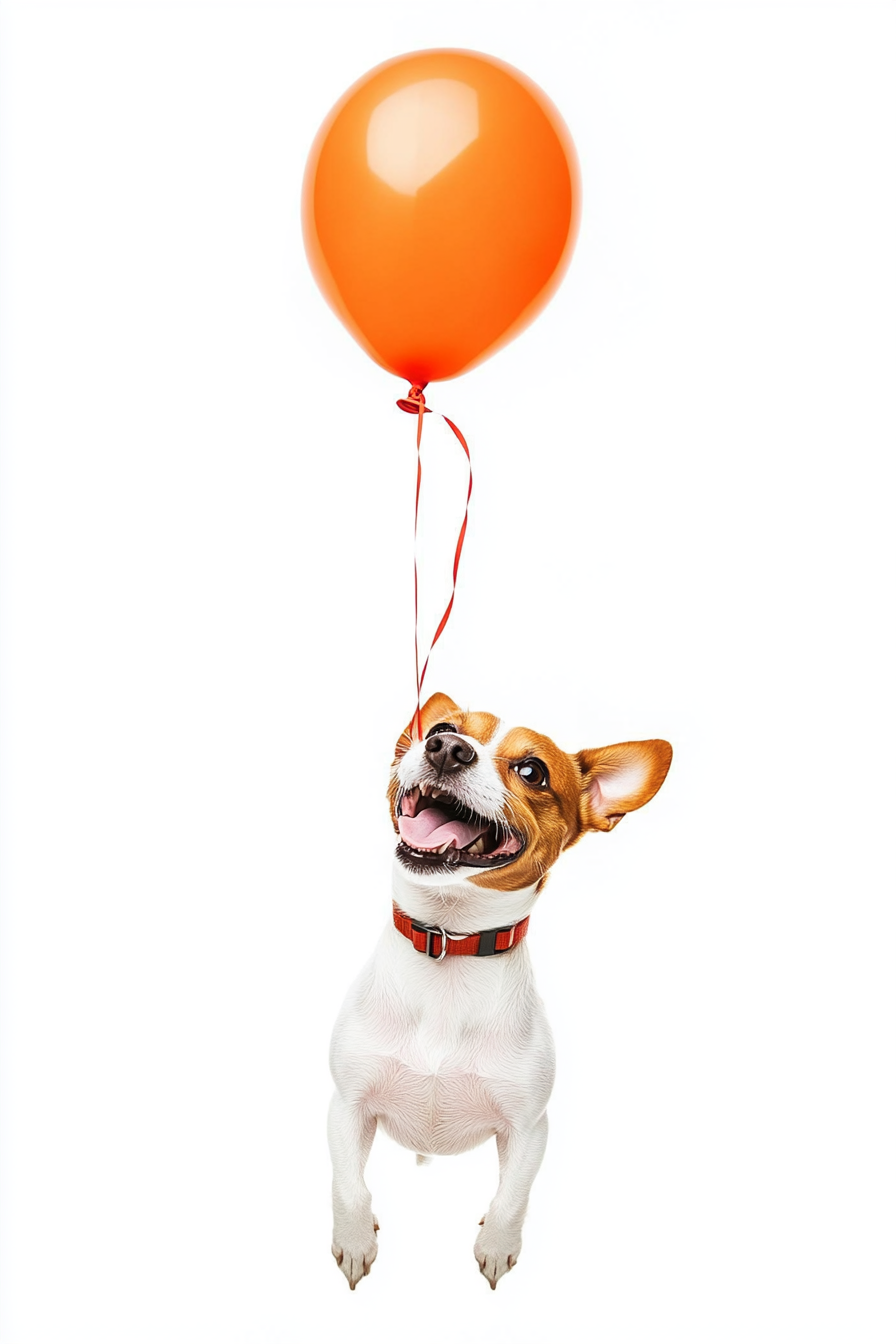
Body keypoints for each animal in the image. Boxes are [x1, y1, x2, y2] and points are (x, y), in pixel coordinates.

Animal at [326, 698, 668, 1284]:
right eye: (444, 728)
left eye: (532, 771)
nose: (445, 747)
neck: (450, 943)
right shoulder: (345, 1107)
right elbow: (350, 1189)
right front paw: (354, 1241)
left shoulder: (529, 1128)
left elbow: (512, 1200)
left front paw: (496, 1246)